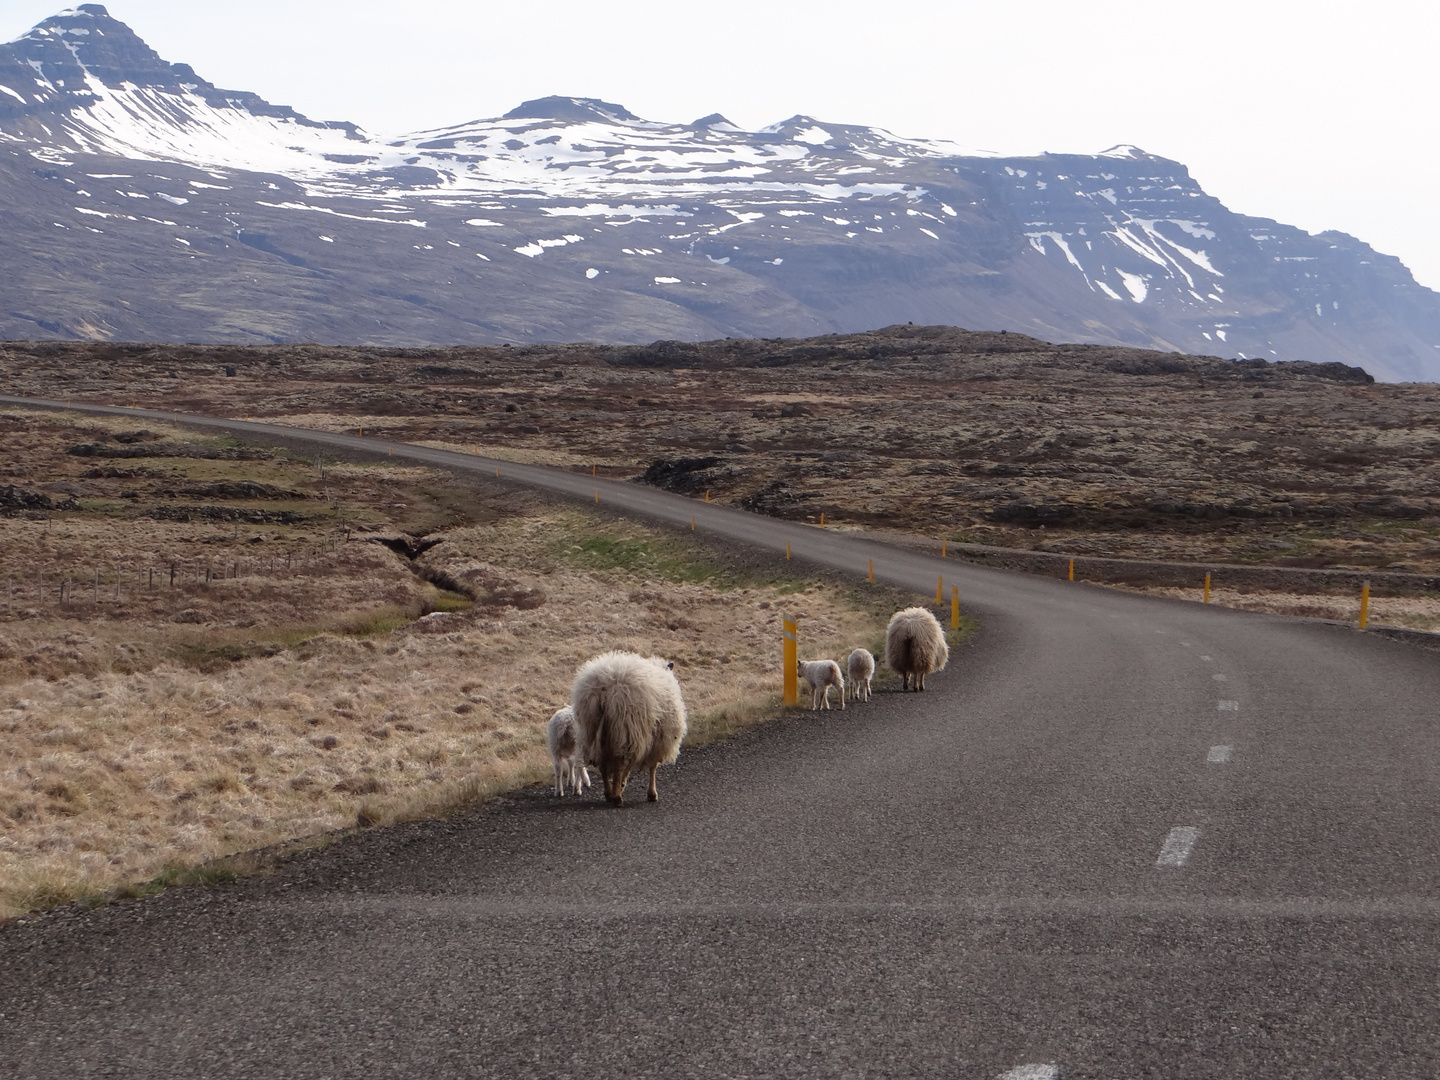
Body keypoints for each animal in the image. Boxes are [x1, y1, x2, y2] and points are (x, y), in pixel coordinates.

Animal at [570, 650, 688, 806]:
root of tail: (604, 690)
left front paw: (622, 784)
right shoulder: (658, 739)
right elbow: (652, 767)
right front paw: (652, 793)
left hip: (592, 729)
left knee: (603, 763)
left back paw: (609, 793)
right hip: (625, 728)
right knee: (619, 762)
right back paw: (616, 797)